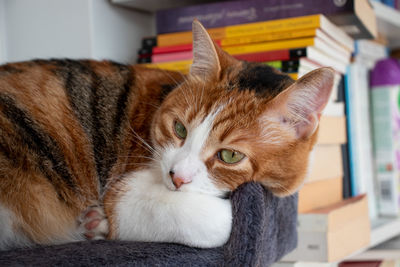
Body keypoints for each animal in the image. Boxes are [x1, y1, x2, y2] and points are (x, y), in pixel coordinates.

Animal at [0, 21, 334, 251]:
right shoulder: (126, 190)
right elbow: (207, 221)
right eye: (180, 129)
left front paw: (97, 225)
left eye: (230, 155)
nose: (177, 177)